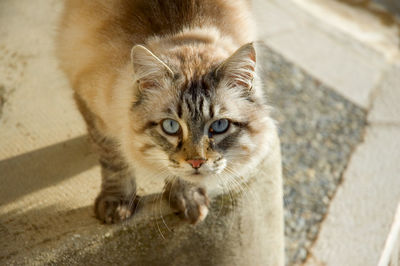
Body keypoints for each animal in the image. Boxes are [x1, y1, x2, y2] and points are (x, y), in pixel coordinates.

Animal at [57, 0, 278, 225]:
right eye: (171, 126)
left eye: (219, 126)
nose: (196, 162)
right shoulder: (95, 113)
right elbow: (115, 163)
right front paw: (117, 204)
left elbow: (182, 178)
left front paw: (188, 199)